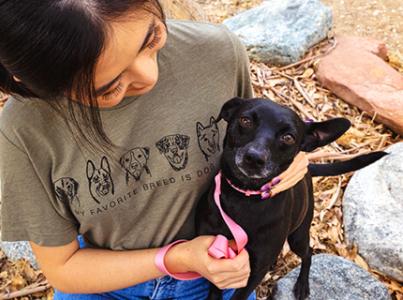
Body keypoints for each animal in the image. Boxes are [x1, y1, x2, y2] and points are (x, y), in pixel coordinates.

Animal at [196, 97, 388, 298]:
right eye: (245, 120)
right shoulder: (219, 257)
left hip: (298, 236)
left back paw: (302, 284)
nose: (254, 158)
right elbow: (215, 290)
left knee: (308, 253)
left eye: (288, 138)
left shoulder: (257, 269)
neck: (244, 198)